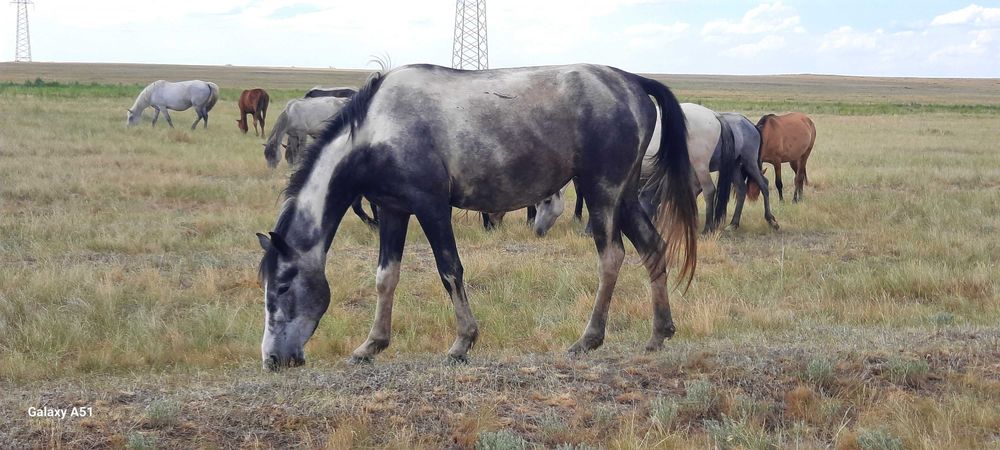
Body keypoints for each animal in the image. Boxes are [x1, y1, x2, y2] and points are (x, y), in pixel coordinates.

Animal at [255, 63, 698, 370]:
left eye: (281, 287)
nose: (272, 359)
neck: (378, 130)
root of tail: (632, 80)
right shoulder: (393, 210)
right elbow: (386, 277)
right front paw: (371, 345)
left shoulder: (431, 208)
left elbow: (450, 270)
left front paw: (462, 343)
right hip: (625, 197)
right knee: (653, 248)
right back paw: (659, 334)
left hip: (602, 192)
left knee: (611, 258)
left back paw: (587, 339)